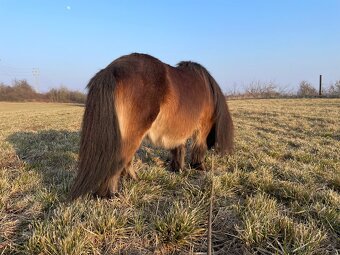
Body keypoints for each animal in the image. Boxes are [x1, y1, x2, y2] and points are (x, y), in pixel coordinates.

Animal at [69, 53, 234, 199]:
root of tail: (111, 69)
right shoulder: (203, 127)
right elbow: (198, 147)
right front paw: (198, 166)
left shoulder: (177, 129)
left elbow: (178, 148)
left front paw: (177, 168)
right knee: (119, 161)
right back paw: (109, 194)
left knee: (125, 161)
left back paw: (134, 180)